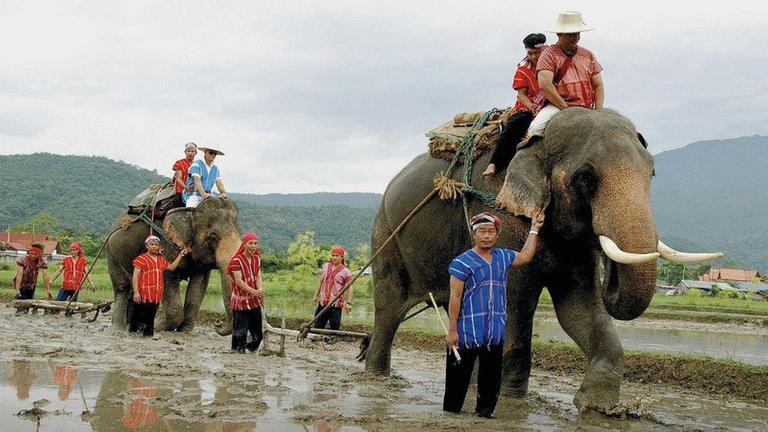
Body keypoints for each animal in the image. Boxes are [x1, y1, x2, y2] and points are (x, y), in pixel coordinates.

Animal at [105, 196, 242, 334]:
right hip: (112, 253)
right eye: (212, 237)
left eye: (240, 234)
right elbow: (168, 278)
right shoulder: (167, 246)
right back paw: (119, 329)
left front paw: (184, 330)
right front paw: (159, 327)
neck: (191, 212)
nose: (218, 324)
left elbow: (199, 285)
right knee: (122, 287)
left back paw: (133, 328)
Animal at [366, 107, 720, 408]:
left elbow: (578, 308)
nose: (611, 277)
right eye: (585, 177)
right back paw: (376, 377)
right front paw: (508, 402)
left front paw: (599, 407)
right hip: (386, 232)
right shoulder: (502, 210)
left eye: (652, 174)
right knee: (388, 308)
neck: (536, 142)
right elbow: (515, 302)